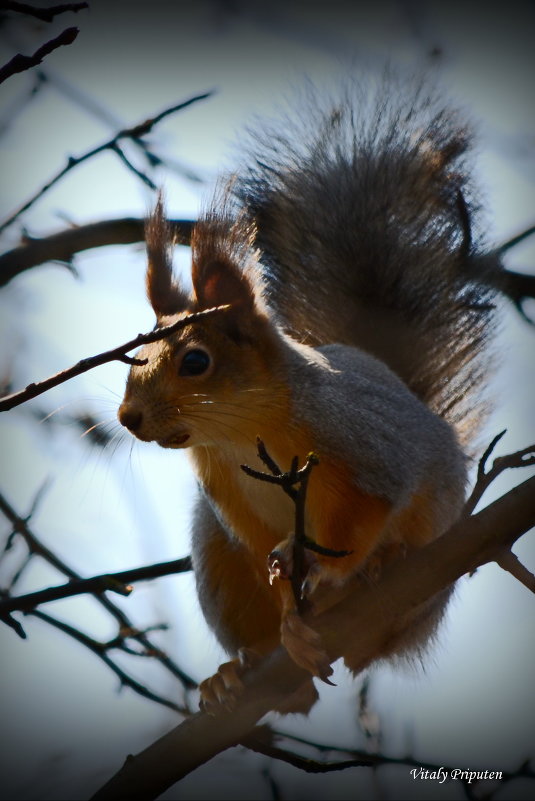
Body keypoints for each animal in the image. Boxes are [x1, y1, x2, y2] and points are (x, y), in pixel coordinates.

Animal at [118, 78, 498, 708]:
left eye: (196, 361)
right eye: (135, 356)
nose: (128, 417)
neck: (239, 433)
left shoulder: (360, 450)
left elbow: (363, 515)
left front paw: (330, 571)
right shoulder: (229, 498)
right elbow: (262, 556)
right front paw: (290, 622)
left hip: (428, 573)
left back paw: (377, 571)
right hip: (216, 555)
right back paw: (244, 670)